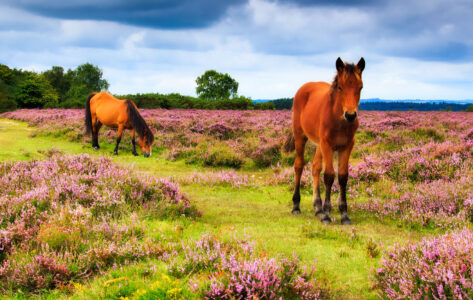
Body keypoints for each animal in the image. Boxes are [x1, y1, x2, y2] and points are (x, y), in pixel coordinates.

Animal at [284, 57, 366, 224]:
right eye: (340, 87)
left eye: (360, 87)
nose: (350, 115)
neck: (338, 120)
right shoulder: (327, 145)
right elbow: (329, 176)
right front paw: (327, 214)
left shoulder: (346, 146)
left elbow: (343, 176)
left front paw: (344, 214)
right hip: (301, 138)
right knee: (299, 166)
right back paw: (296, 206)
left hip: (319, 145)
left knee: (315, 167)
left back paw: (318, 208)